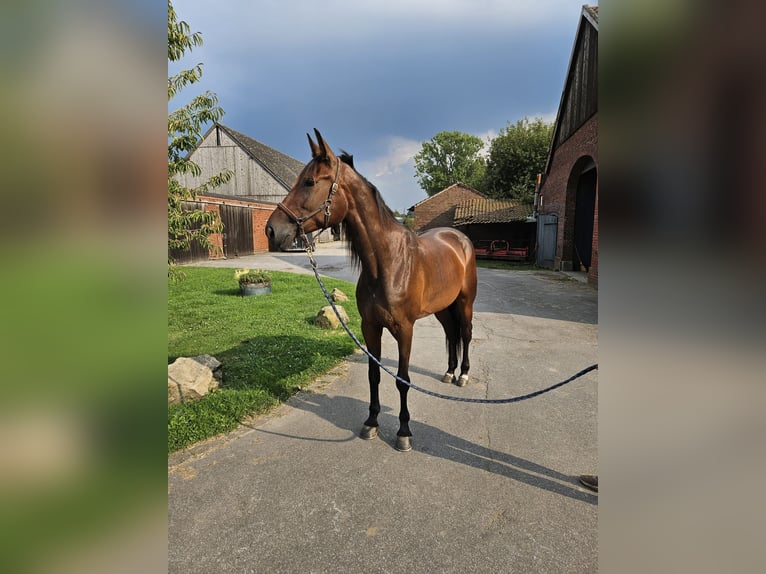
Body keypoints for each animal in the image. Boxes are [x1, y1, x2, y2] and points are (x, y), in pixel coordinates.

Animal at [268, 132, 476, 454]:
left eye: (310, 182)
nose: (271, 230)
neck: (387, 262)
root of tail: (460, 238)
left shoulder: (405, 329)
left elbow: (402, 379)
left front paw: (403, 432)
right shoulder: (370, 327)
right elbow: (374, 375)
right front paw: (371, 423)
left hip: (465, 303)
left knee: (465, 333)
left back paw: (463, 375)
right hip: (443, 308)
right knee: (451, 333)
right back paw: (449, 372)